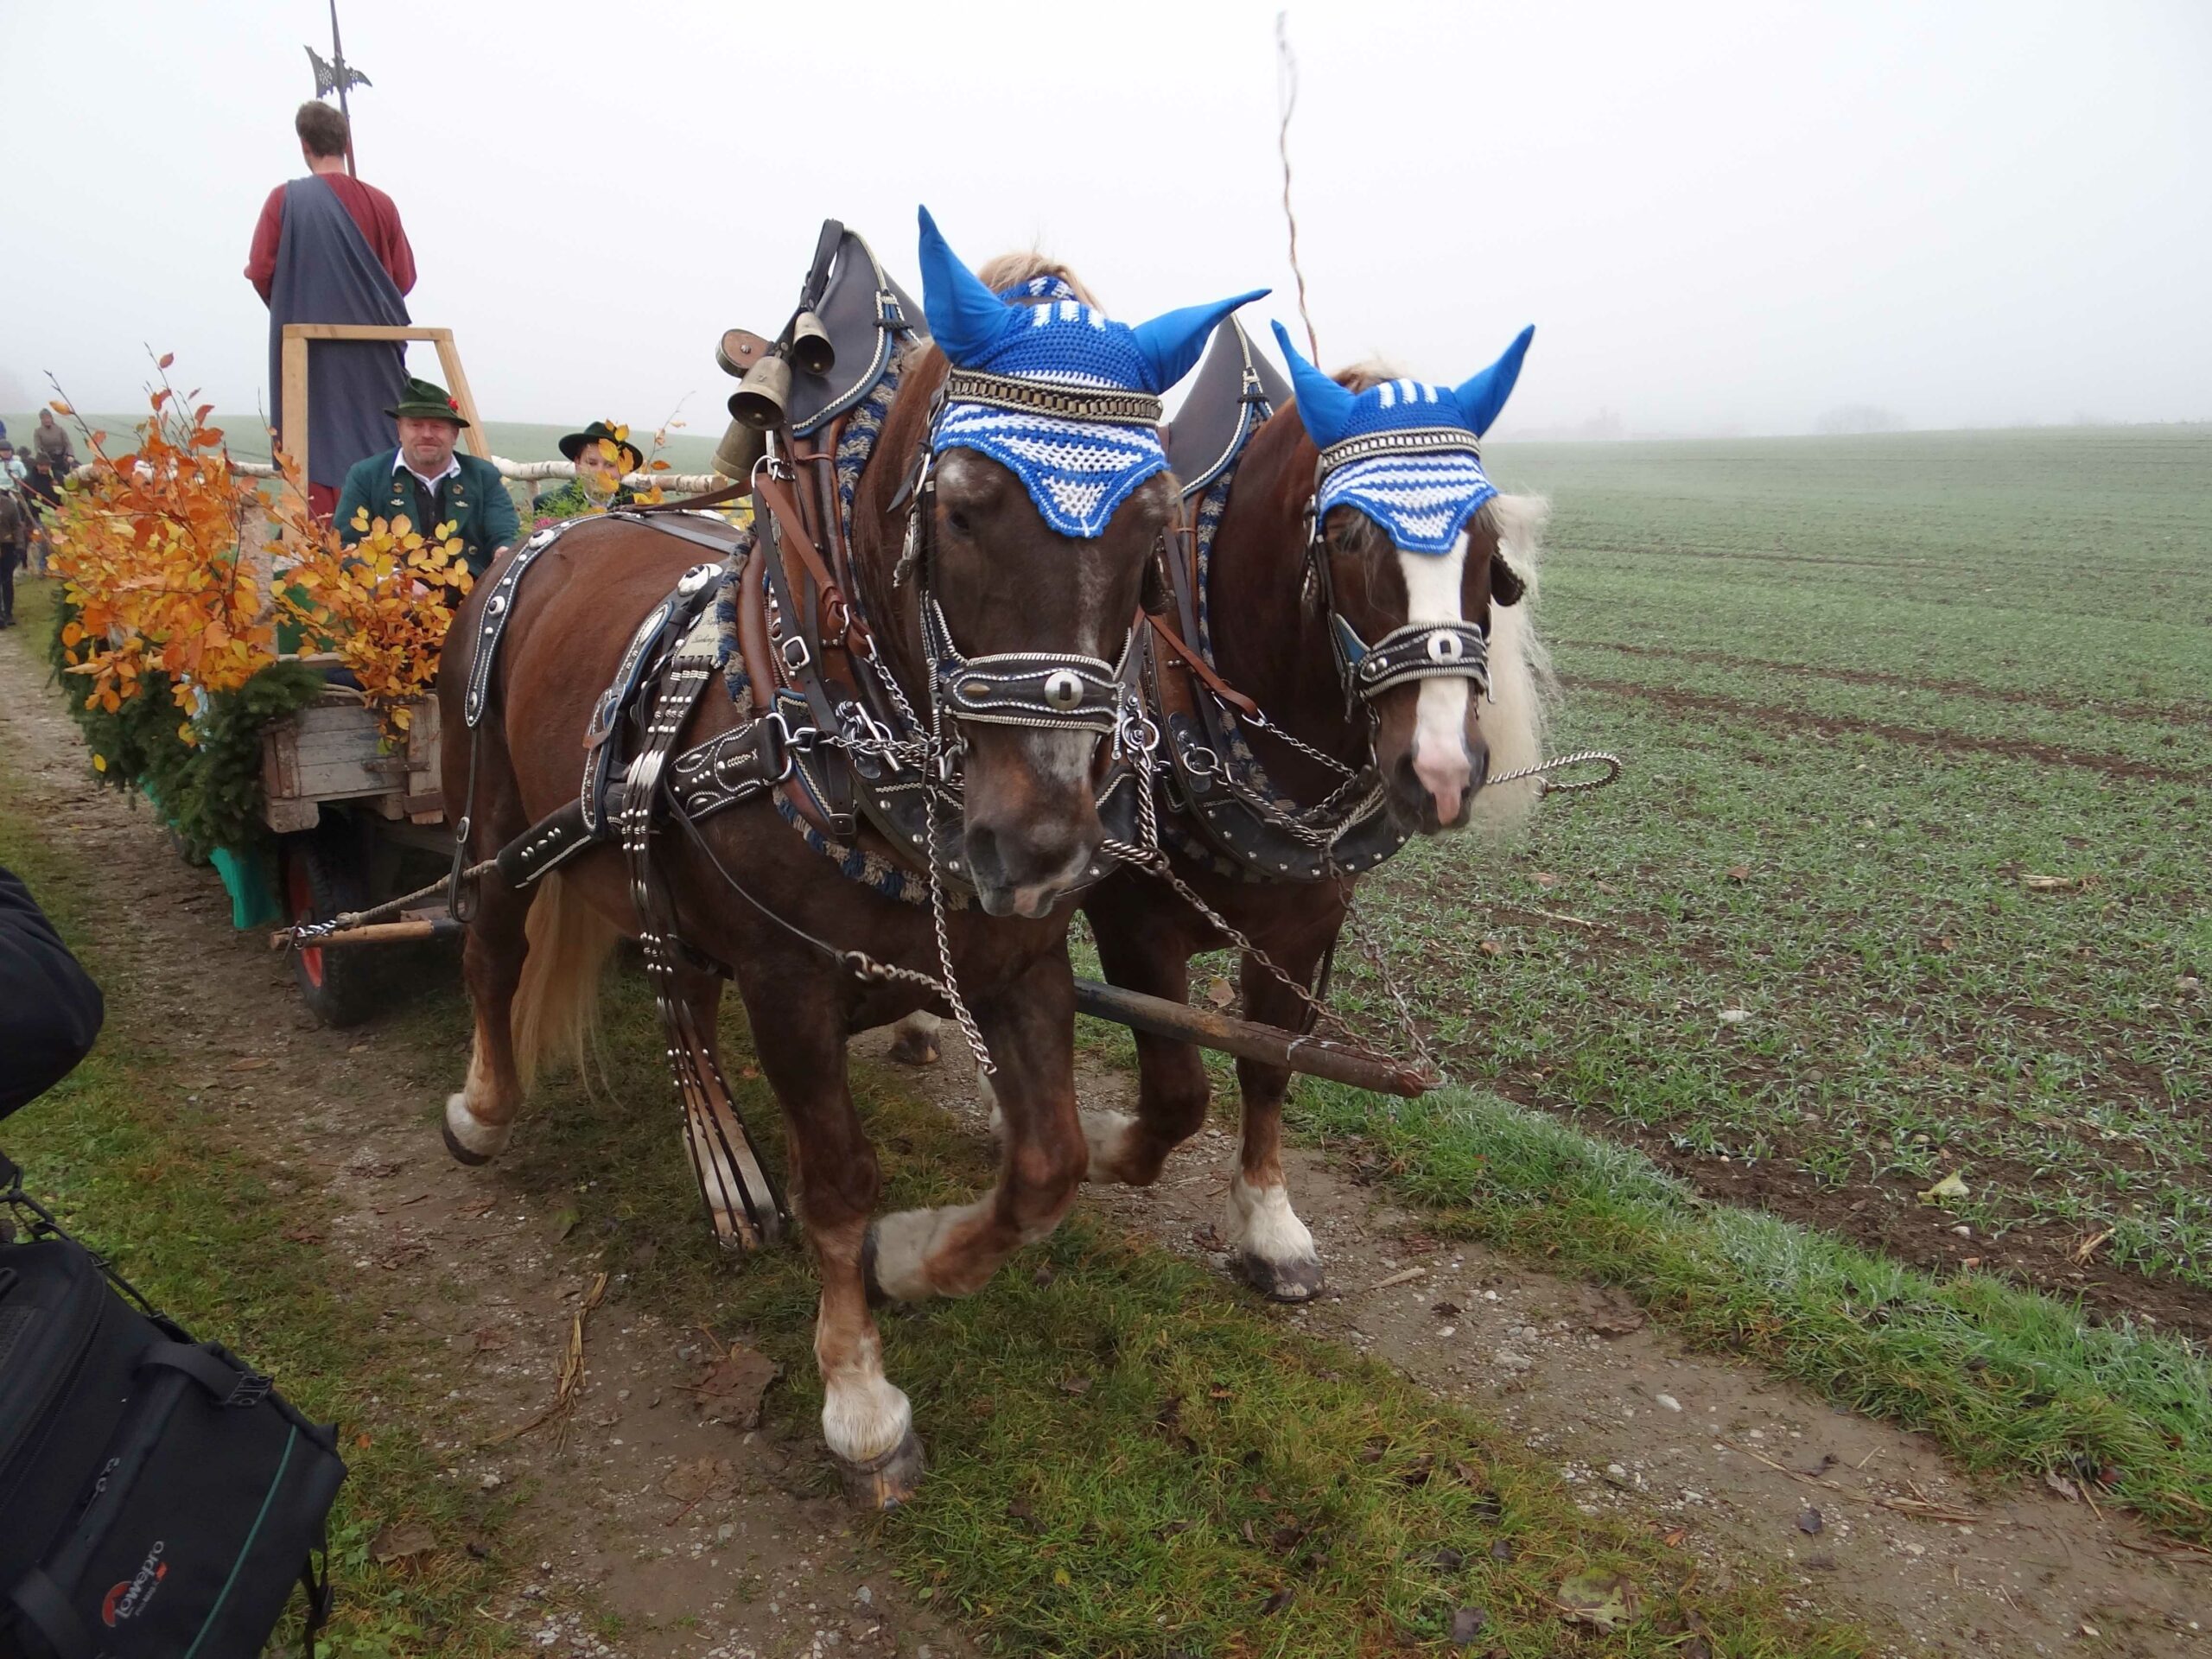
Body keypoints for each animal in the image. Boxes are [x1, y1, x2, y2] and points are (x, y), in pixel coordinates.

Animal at [433, 209, 1262, 1504]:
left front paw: (912, 1260)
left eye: (1153, 533)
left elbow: (1049, 1166)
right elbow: (838, 1182)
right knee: (487, 948)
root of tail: (559, 528)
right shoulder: (790, 986)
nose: (1037, 846)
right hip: (491, 811)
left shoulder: (1019, 967)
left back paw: (717, 1150)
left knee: (674, 985)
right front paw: (859, 1393)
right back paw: (484, 1106)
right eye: (962, 510)